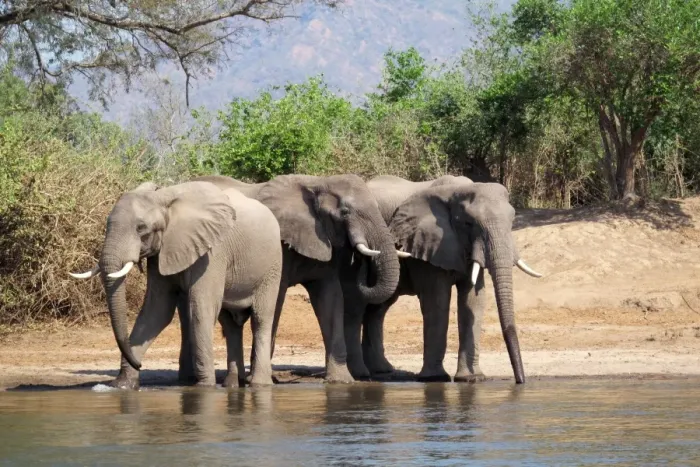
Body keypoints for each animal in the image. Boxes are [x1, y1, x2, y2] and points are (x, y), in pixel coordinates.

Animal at [70, 181, 282, 388]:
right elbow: (157, 311)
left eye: (141, 228)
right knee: (230, 324)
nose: (139, 364)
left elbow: (201, 310)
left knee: (261, 319)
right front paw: (122, 385)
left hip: (272, 268)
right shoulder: (161, 253)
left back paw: (259, 384)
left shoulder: (213, 253)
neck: (164, 198)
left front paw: (204, 387)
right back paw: (231, 385)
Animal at [191, 174, 401, 383]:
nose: (361, 260)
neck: (318, 182)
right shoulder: (281, 247)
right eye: (345, 211)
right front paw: (261, 379)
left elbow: (331, 299)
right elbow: (277, 300)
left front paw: (341, 381)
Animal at [342, 175, 542, 384]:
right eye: (468, 223)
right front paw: (435, 378)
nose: (520, 381)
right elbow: (437, 301)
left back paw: (380, 371)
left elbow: (473, 302)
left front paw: (472, 378)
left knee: (378, 309)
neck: (457, 191)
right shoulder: (427, 244)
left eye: (512, 221)